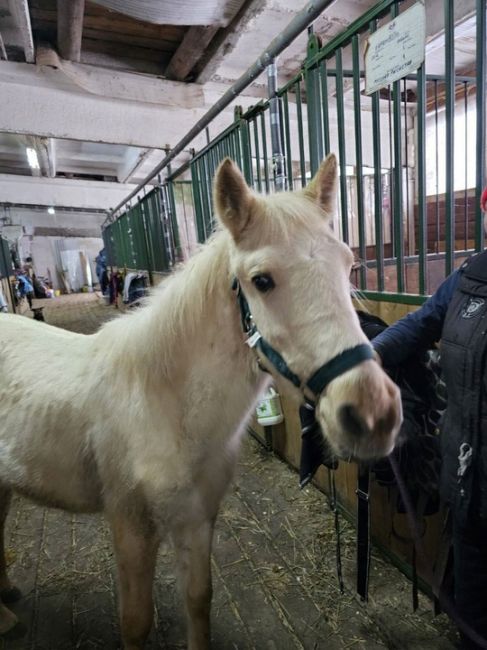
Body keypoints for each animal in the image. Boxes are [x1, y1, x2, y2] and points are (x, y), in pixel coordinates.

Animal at [0, 154, 402, 644]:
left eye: (347, 265)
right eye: (261, 280)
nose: (373, 413)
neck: (164, 408)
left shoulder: (197, 518)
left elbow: (198, 600)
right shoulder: (130, 528)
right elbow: (136, 622)